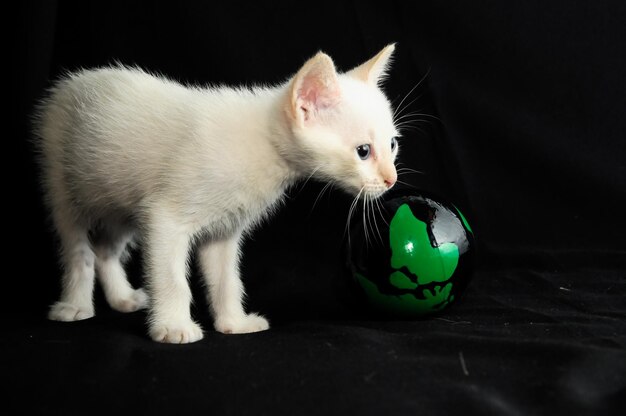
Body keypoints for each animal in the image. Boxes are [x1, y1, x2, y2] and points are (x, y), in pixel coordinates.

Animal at [34, 44, 398, 342]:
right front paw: (173, 327)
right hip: (61, 183)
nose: (391, 180)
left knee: (105, 249)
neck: (264, 144)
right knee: (78, 251)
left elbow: (227, 281)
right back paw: (74, 306)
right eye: (363, 151)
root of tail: (73, 82)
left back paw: (121, 298)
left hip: (117, 201)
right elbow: (172, 279)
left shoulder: (224, 230)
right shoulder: (164, 218)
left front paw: (234, 324)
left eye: (392, 144)